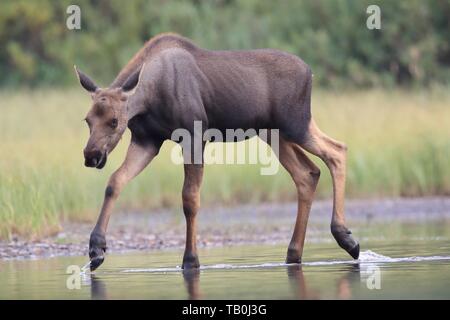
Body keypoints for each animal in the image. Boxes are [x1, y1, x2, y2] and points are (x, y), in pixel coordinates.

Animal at [75, 34, 360, 270]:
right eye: (87, 120)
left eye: (114, 121)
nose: (91, 155)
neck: (147, 98)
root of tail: (311, 73)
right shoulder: (147, 141)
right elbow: (115, 182)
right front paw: (96, 249)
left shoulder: (193, 135)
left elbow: (190, 198)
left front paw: (190, 259)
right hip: (274, 133)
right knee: (308, 172)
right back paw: (294, 253)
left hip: (295, 124)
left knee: (337, 150)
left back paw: (345, 237)